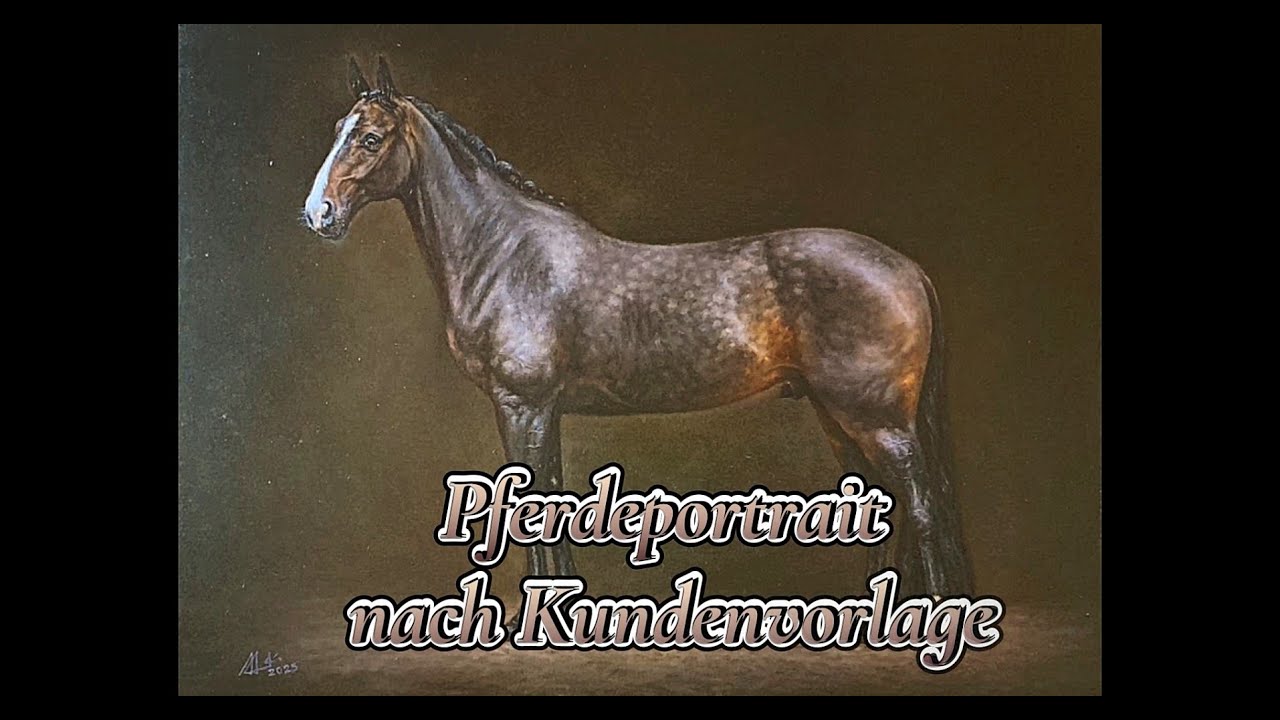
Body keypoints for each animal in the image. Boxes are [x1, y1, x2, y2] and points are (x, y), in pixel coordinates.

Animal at [302, 57, 974, 597]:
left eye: (370, 138)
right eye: (339, 133)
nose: (318, 214)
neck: (505, 251)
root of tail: (908, 268)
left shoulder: (521, 403)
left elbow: (527, 507)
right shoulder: (541, 410)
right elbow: (547, 501)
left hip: (876, 418)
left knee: (921, 508)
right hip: (839, 417)